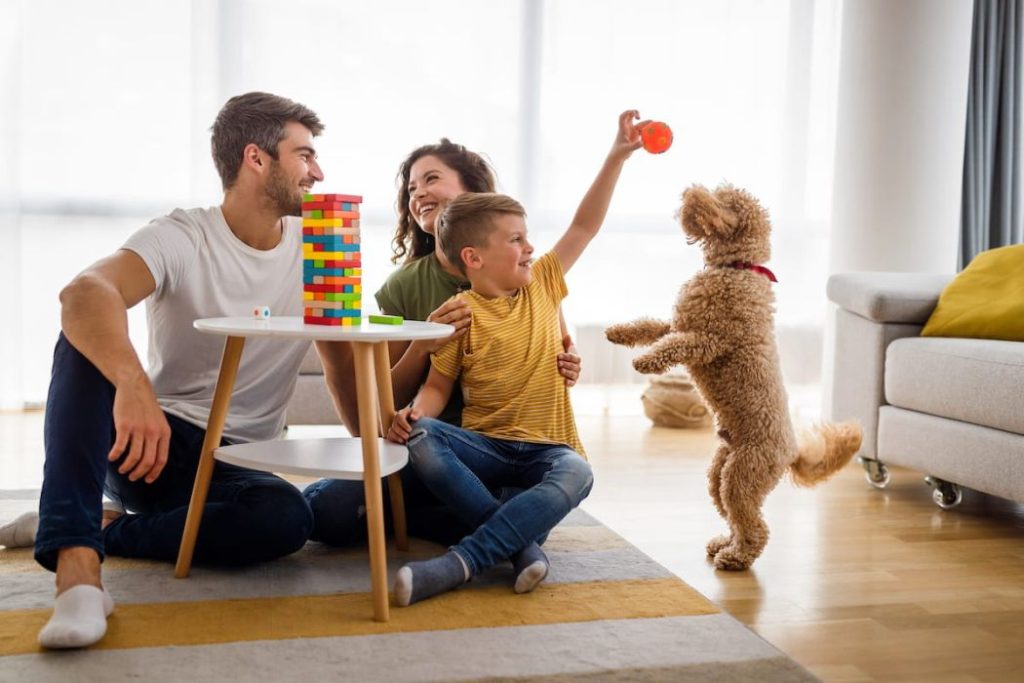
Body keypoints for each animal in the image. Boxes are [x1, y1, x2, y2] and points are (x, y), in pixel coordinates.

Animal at [610, 184, 860, 569]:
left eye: (726, 203)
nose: (690, 190)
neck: (737, 267)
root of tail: (792, 451)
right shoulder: (678, 322)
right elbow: (651, 327)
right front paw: (619, 333)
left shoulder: (709, 340)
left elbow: (674, 345)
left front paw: (646, 361)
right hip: (720, 470)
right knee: (731, 514)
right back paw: (723, 543)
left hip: (743, 475)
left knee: (755, 525)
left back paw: (736, 557)